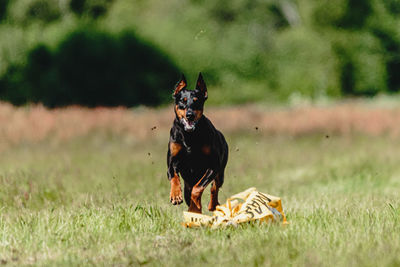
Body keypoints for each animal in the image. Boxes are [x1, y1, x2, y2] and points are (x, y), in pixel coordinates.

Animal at [166, 73, 228, 214]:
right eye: (182, 101)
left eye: (196, 101)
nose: (190, 115)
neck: (189, 135)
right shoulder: (172, 161)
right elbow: (174, 176)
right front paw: (175, 196)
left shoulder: (213, 165)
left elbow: (198, 188)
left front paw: (195, 208)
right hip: (188, 182)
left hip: (221, 170)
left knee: (214, 186)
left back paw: (212, 205)